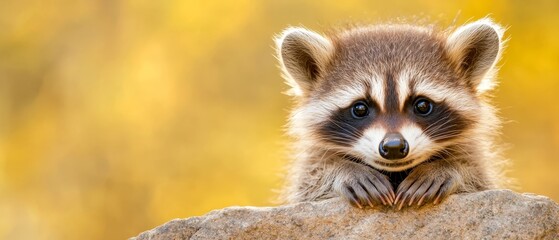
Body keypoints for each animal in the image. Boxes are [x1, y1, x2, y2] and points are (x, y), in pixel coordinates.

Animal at [276, 18, 508, 210]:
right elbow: (310, 182)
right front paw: (343, 169)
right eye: (360, 109)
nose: (394, 147)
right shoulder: (310, 167)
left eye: (422, 105)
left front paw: (446, 167)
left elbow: (477, 176)